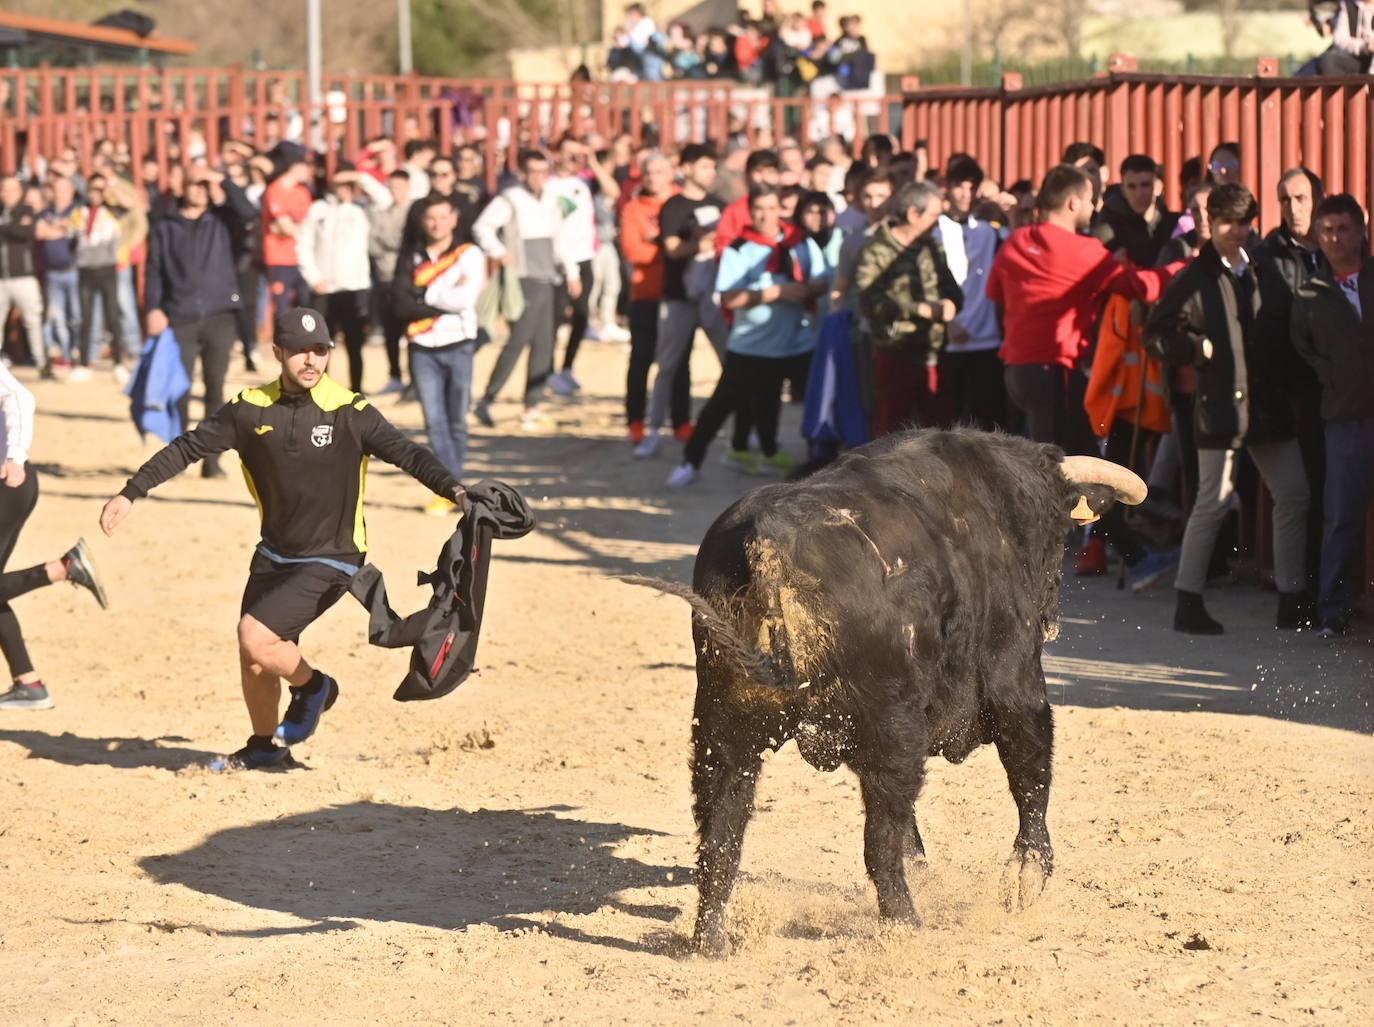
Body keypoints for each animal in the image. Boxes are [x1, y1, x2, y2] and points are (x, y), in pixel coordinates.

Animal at [629, 426, 1143, 956]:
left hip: (724, 725)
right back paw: (906, 925)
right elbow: (1030, 767)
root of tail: (768, 546)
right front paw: (1027, 876)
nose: (1051, 615)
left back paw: (710, 941)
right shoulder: (1015, 678)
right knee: (881, 836)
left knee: (720, 831)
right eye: (1059, 538)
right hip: (892, 728)